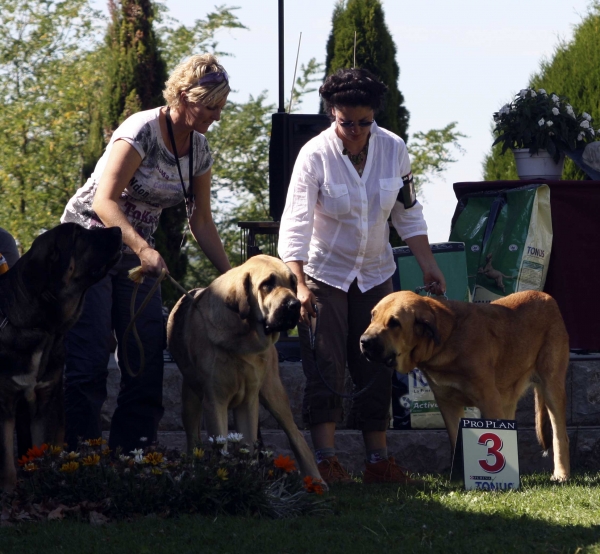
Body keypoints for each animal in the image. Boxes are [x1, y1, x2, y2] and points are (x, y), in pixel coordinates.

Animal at [0, 221, 122, 488]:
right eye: (78, 235)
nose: (119, 229)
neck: (41, 327)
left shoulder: (45, 401)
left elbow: (42, 449)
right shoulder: (3, 401)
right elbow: (6, 461)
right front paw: (9, 490)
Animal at [165, 252, 324, 480]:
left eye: (293, 283)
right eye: (267, 284)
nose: (295, 305)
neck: (244, 335)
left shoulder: (248, 402)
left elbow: (248, 449)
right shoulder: (215, 402)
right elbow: (222, 448)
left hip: (273, 393)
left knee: (296, 435)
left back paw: (316, 480)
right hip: (190, 401)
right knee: (193, 438)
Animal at [358, 288, 568, 478]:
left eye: (394, 323)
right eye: (372, 316)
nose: (364, 341)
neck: (447, 337)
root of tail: (548, 297)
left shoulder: (489, 400)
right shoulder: (448, 405)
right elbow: (456, 442)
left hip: (551, 388)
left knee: (560, 436)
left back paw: (561, 474)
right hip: (508, 399)